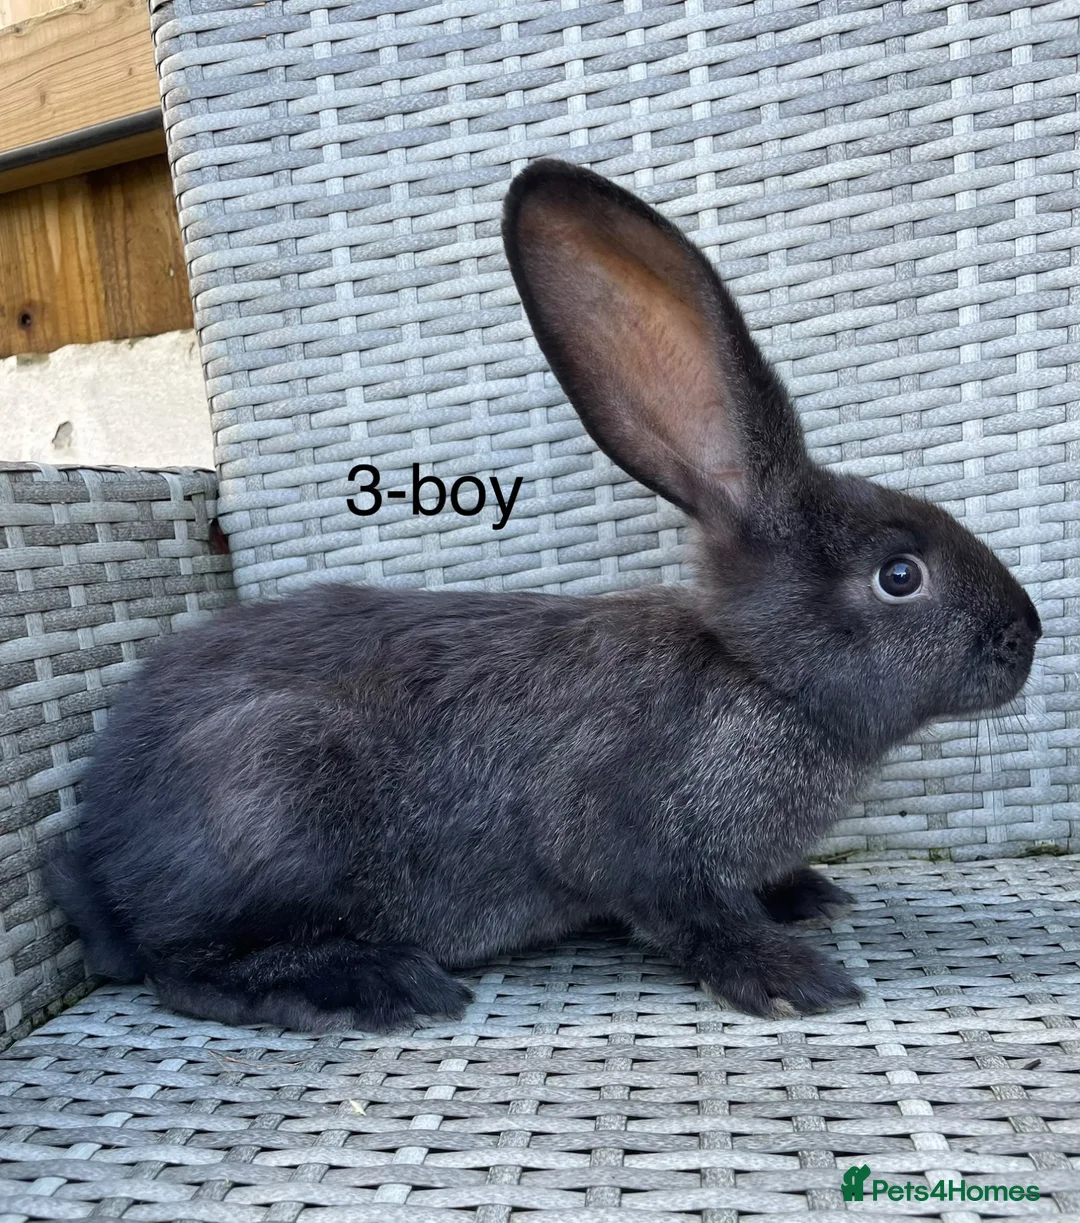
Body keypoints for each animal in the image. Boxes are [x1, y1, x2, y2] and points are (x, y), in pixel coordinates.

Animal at [48, 158, 1041, 1032]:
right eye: (899, 574)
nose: (1025, 635)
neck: (755, 676)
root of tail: (100, 850)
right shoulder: (628, 836)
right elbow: (686, 913)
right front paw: (788, 975)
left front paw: (806, 894)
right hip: (268, 804)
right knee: (184, 968)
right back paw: (373, 985)